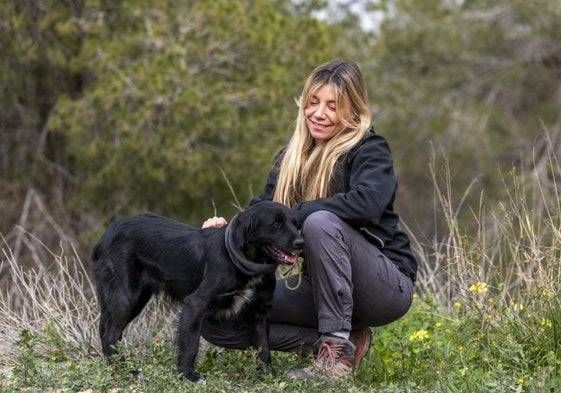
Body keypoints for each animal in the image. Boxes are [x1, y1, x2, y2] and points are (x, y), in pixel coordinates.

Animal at [90, 201, 304, 382]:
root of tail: (107, 234)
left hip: (137, 298)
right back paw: (127, 371)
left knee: (108, 333)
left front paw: (266, 376)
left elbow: (263, 348)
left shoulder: (259, 311)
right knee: (110, 335)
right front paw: (189, 376)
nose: (301, 243)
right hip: (126, 294)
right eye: (275, 224)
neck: (243, 262)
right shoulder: (195, 305)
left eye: (295, 224)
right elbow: (191, 344)